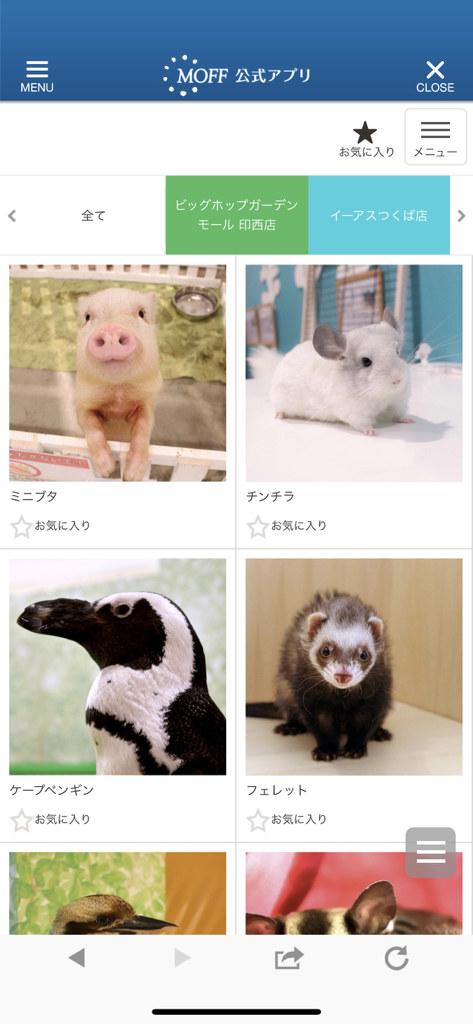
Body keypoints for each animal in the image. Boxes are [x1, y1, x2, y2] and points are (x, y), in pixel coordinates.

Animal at [76, 288, 162, 481]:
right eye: (87, 317)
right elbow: (91, 427)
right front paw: (106, 470)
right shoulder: (83, 401)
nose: (111, 329)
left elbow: (143, 428)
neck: (118, 393)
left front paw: (132, 476)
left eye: (141, 313)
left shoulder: (148, 402)